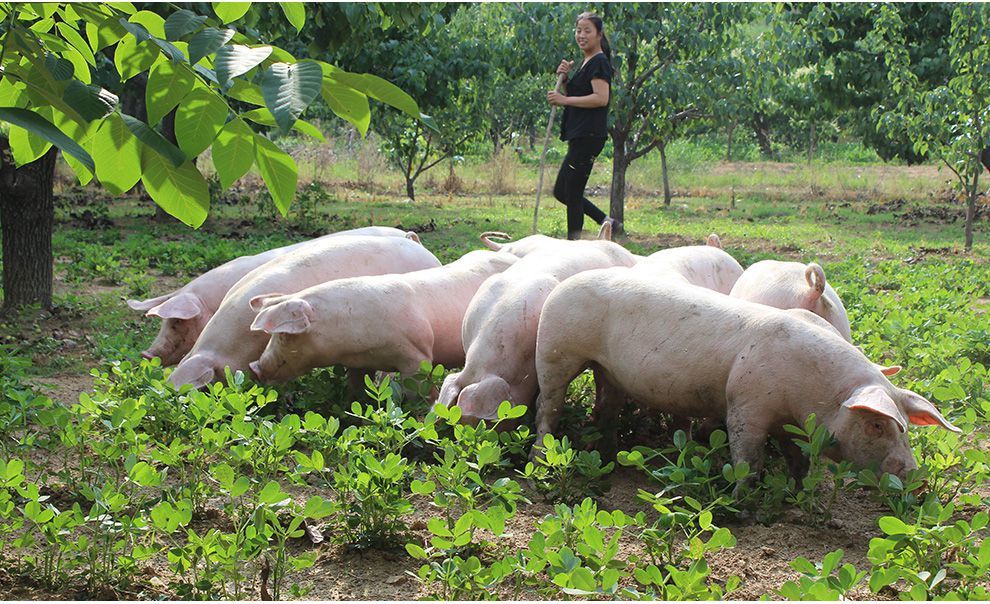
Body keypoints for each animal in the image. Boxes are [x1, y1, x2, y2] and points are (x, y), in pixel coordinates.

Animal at [536, 268, 960, 486]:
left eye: (905, 427)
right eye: (876, 425)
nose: (913, 473)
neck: (813, 393)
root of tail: (563, 284)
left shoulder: (790, 422)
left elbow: (797, 458)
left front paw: (796, 490)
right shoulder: (745, 403)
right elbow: (747, 457)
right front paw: (742, 498)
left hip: (607, 371)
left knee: (605, 406)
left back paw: (606, 454)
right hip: (557, 352)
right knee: (547, 405)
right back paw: (542, 455)